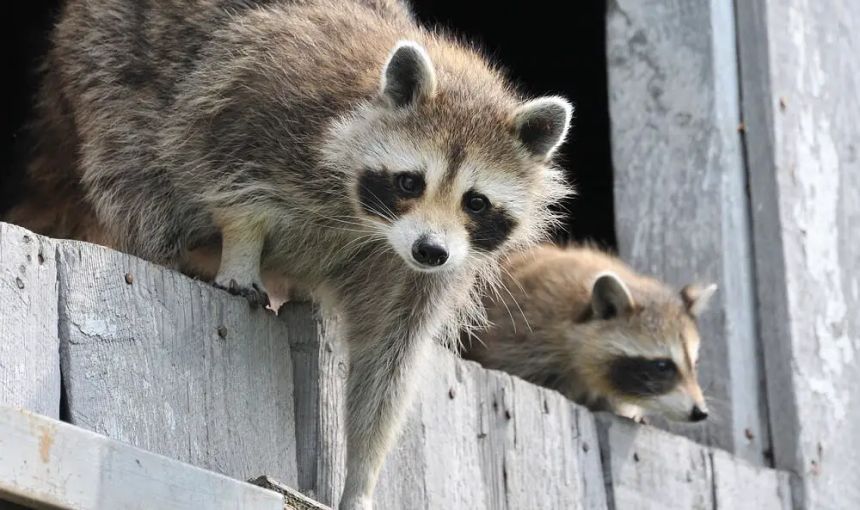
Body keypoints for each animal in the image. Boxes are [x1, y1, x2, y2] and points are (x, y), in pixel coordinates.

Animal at [14, 1, 573, 508]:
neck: (369, 223)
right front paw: (240, 252)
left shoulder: (420, 273)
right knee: (134, 173)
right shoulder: (263, 102)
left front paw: (362, 474)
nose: (430, 250)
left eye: (475, 202)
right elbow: (228, 179)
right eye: (410, 182)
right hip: (104, 68)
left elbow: (388, 365)